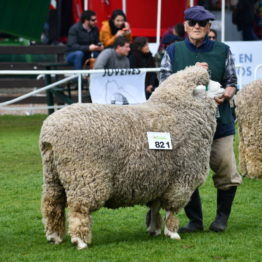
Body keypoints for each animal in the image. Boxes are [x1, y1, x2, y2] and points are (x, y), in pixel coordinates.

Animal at [40, 64, 217, 249]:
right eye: (206, 85)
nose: (222, 86)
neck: (180, 111)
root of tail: (50, 132)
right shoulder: (181, 180)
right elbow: (171, 211)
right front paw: (172, 232)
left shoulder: (158, 179)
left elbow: (155, 207)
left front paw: (154, 229)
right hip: (84, 175)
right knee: (78, 209)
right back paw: (80, 241)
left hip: (53, 175)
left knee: (52, 204)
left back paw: (54, 236)